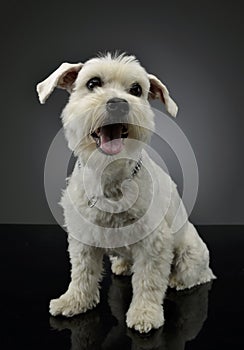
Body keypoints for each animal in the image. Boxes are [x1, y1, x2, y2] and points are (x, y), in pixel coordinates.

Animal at [36, 52, 215, 334]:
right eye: (93, 83)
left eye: (136, 90)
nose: (118, 104)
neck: (110, 176)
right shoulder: (82, 237)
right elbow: (82, 273)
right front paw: (74, 301)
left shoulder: (154, 243)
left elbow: (149, 282)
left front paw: (145, 314)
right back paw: (121, 266)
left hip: (190, 254)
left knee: (194, 275)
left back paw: (177, 279)